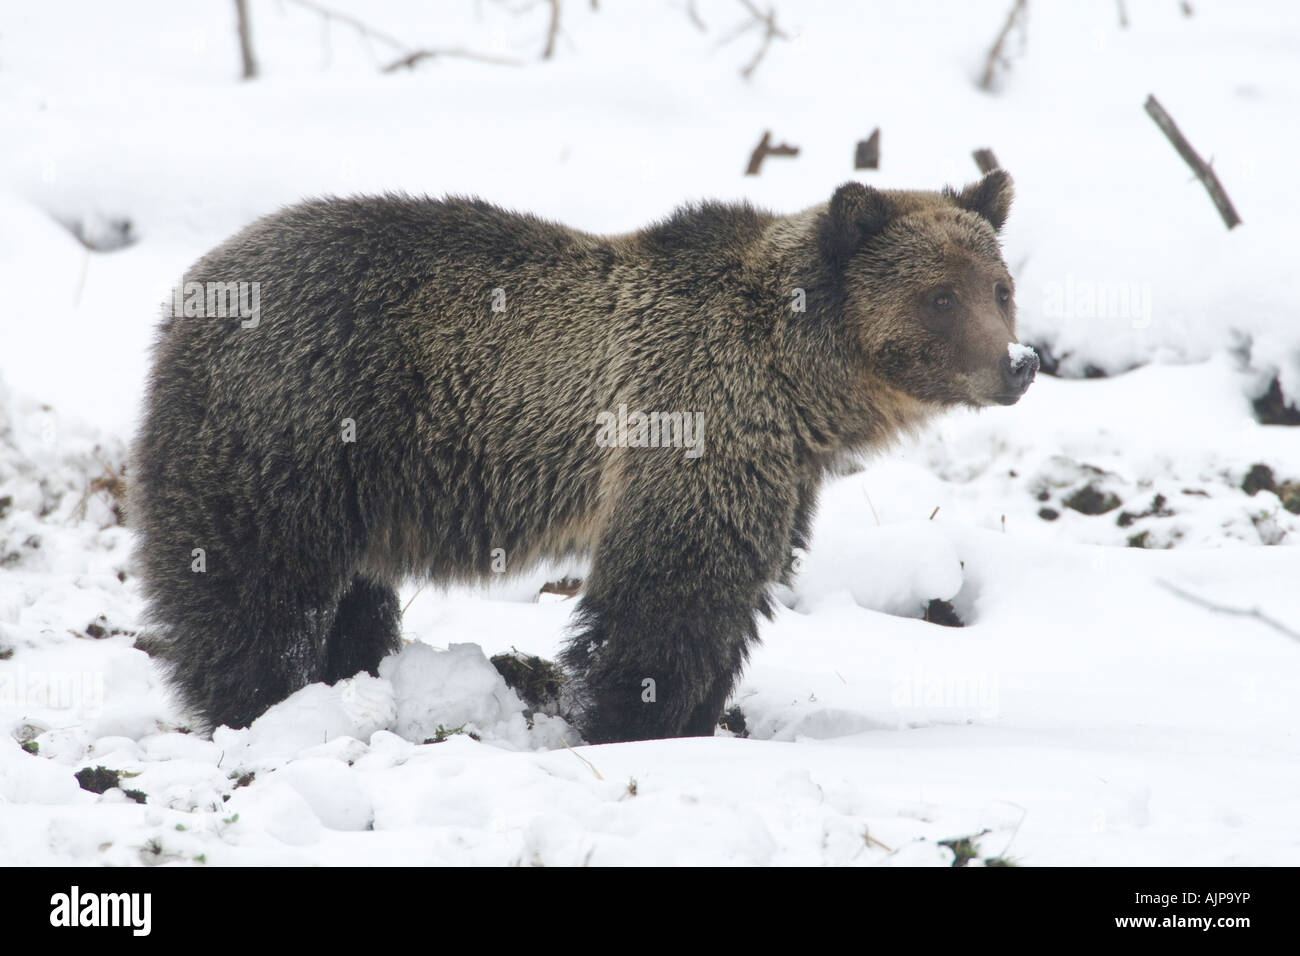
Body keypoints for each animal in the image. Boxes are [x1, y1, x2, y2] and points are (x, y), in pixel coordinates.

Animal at [129, 170, 1034, 738]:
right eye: (939, 295)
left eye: (1000, 286)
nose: (1018, 363)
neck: (800, 385)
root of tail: (195, 288)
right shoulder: (690, 424)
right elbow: (666, 598)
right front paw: (631, 720)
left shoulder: (777, 475)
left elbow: (735, 597)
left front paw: (703, 717)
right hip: (294, 424)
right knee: (254, 586)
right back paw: (265, 702)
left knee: (350, 593)